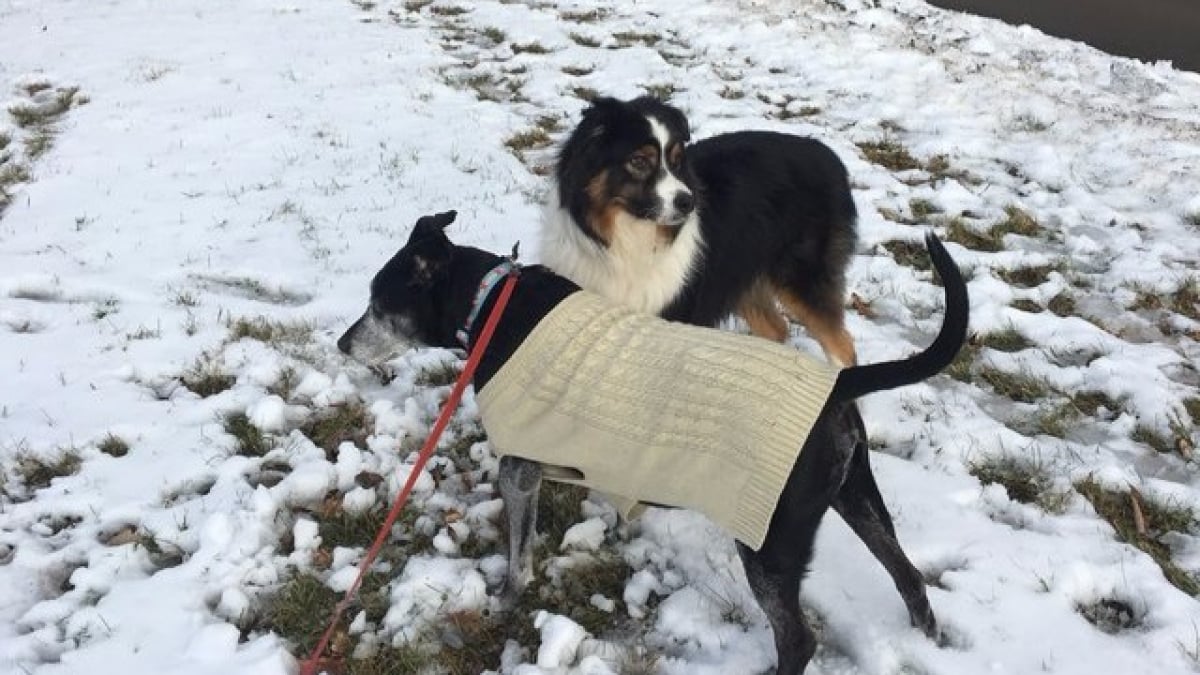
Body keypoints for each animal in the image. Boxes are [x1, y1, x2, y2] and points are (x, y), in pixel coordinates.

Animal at [340, 210, 974, 672]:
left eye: (378, 303)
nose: (344, 344)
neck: (491, 305)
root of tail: (839, 382)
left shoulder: (518, 469)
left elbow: (519, 560)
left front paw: (504, 601)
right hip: (854, 494)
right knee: (909, 578)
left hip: (771, 544)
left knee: (797, 639)